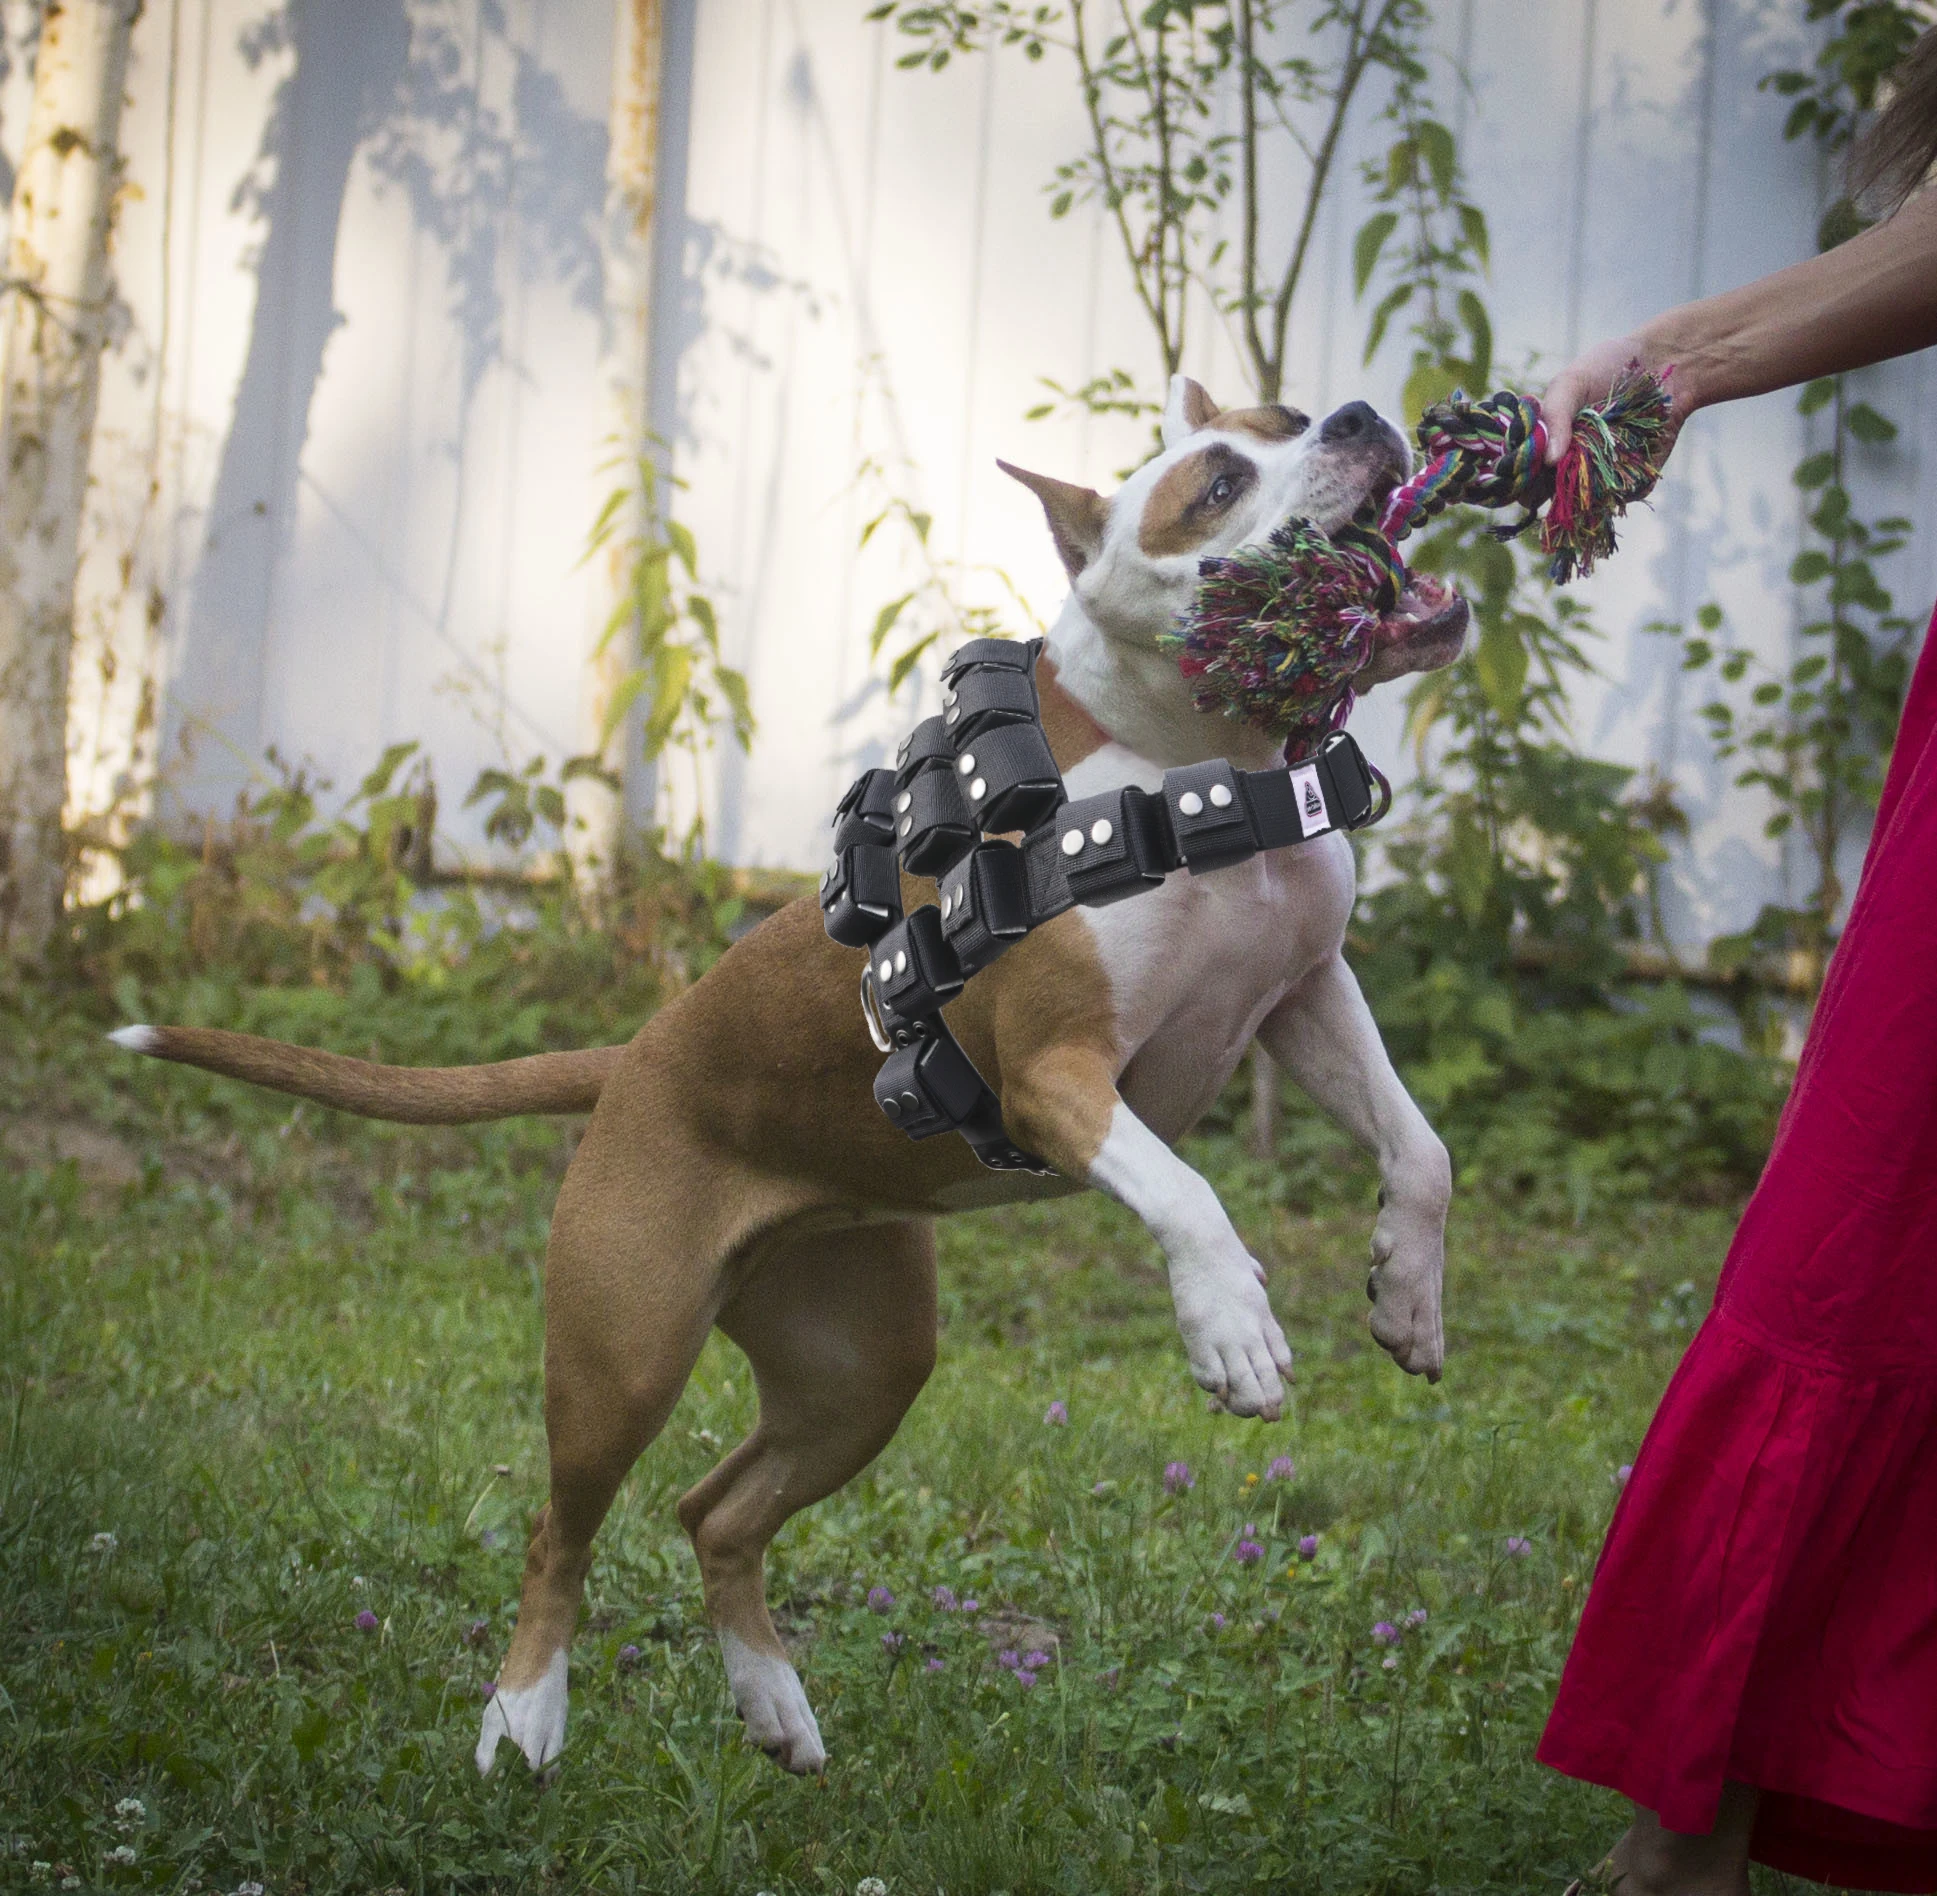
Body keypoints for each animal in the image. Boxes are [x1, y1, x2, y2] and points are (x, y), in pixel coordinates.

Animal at [106, 369, 1464, 1781]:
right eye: (1214, 486)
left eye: (1289, 418)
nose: (1362, 418)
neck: (1187, 762)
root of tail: (635, 1055)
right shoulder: (1056, 1077)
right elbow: (1189, 1194)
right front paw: (1230, 1328)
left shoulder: (1306, 997)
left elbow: (1420, 1150)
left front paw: (1405, 1295)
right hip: (621, 1358)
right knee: (560, 1533)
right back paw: (525, 1715)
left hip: (858, 1371)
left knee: (716, 1512)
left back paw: (769, 1701)